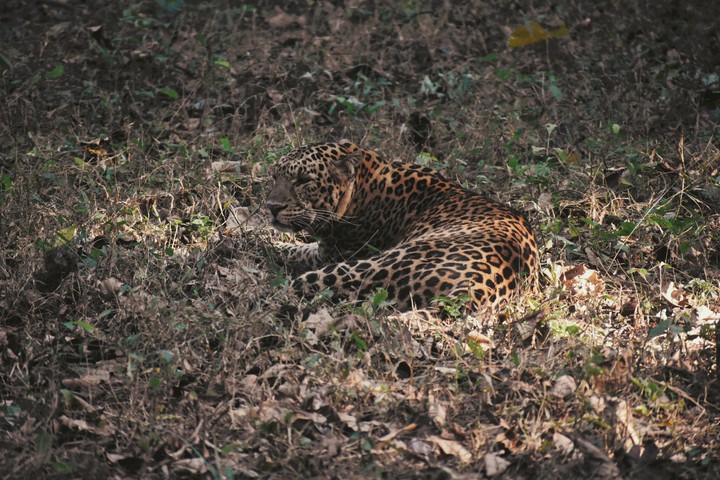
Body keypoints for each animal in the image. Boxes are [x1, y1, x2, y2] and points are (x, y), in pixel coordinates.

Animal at [266, 140, 539, 312]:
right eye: (274, 176)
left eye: (303, 180)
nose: (271, 207)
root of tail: (480, 287)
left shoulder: (330, 253)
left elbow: (289, 248)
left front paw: (257, 238)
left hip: (363, 267)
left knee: (293, 286)